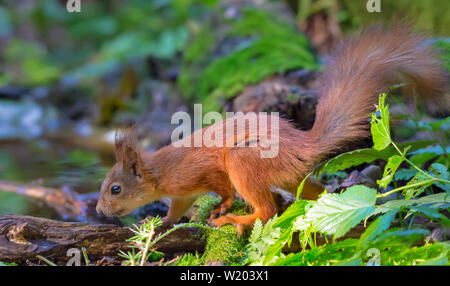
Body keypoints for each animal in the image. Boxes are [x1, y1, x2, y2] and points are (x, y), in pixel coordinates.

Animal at [95, 25, 446, 232]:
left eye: (116, 189)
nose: (99, 210)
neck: (158, 172)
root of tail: (304, 146)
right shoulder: (181, 193)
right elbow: (177, 208)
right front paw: (160, 220)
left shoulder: (200, 173)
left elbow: (221, 187)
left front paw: (222, 205)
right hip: (291, 176)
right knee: (315, 192)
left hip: (245, 160)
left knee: (267, 210)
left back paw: (237, 218)